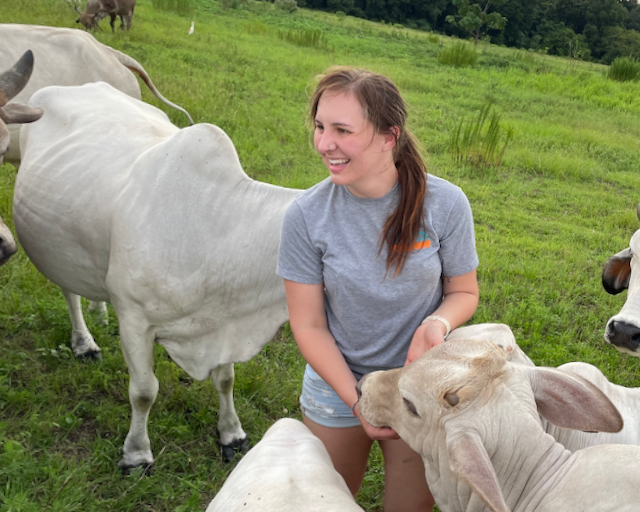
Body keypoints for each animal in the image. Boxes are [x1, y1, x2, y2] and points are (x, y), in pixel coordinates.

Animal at [14, 81, 300, 472]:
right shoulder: (135, 320)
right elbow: (144, 392)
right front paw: (136, 454)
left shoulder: (223, 320)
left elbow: (225, 379)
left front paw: (231, 434)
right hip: (54, 247)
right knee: (69, 292)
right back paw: (84, 342)